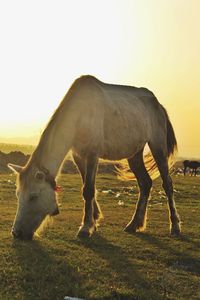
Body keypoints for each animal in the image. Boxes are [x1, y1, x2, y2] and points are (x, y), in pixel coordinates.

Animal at [7, 75, 180, 241]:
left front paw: (85, 227)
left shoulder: (92, 154)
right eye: (17, 195)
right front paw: (94, 220)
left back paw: (175, 226)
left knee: (167, 184)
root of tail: (158, 105)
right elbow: (86, 186)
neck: (79, 115)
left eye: (33, 196)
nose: (17, 233)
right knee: (145, 184)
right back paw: (134, 224)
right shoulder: (78, 156)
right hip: (134, 154)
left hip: (157, 146)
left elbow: (88, 190)